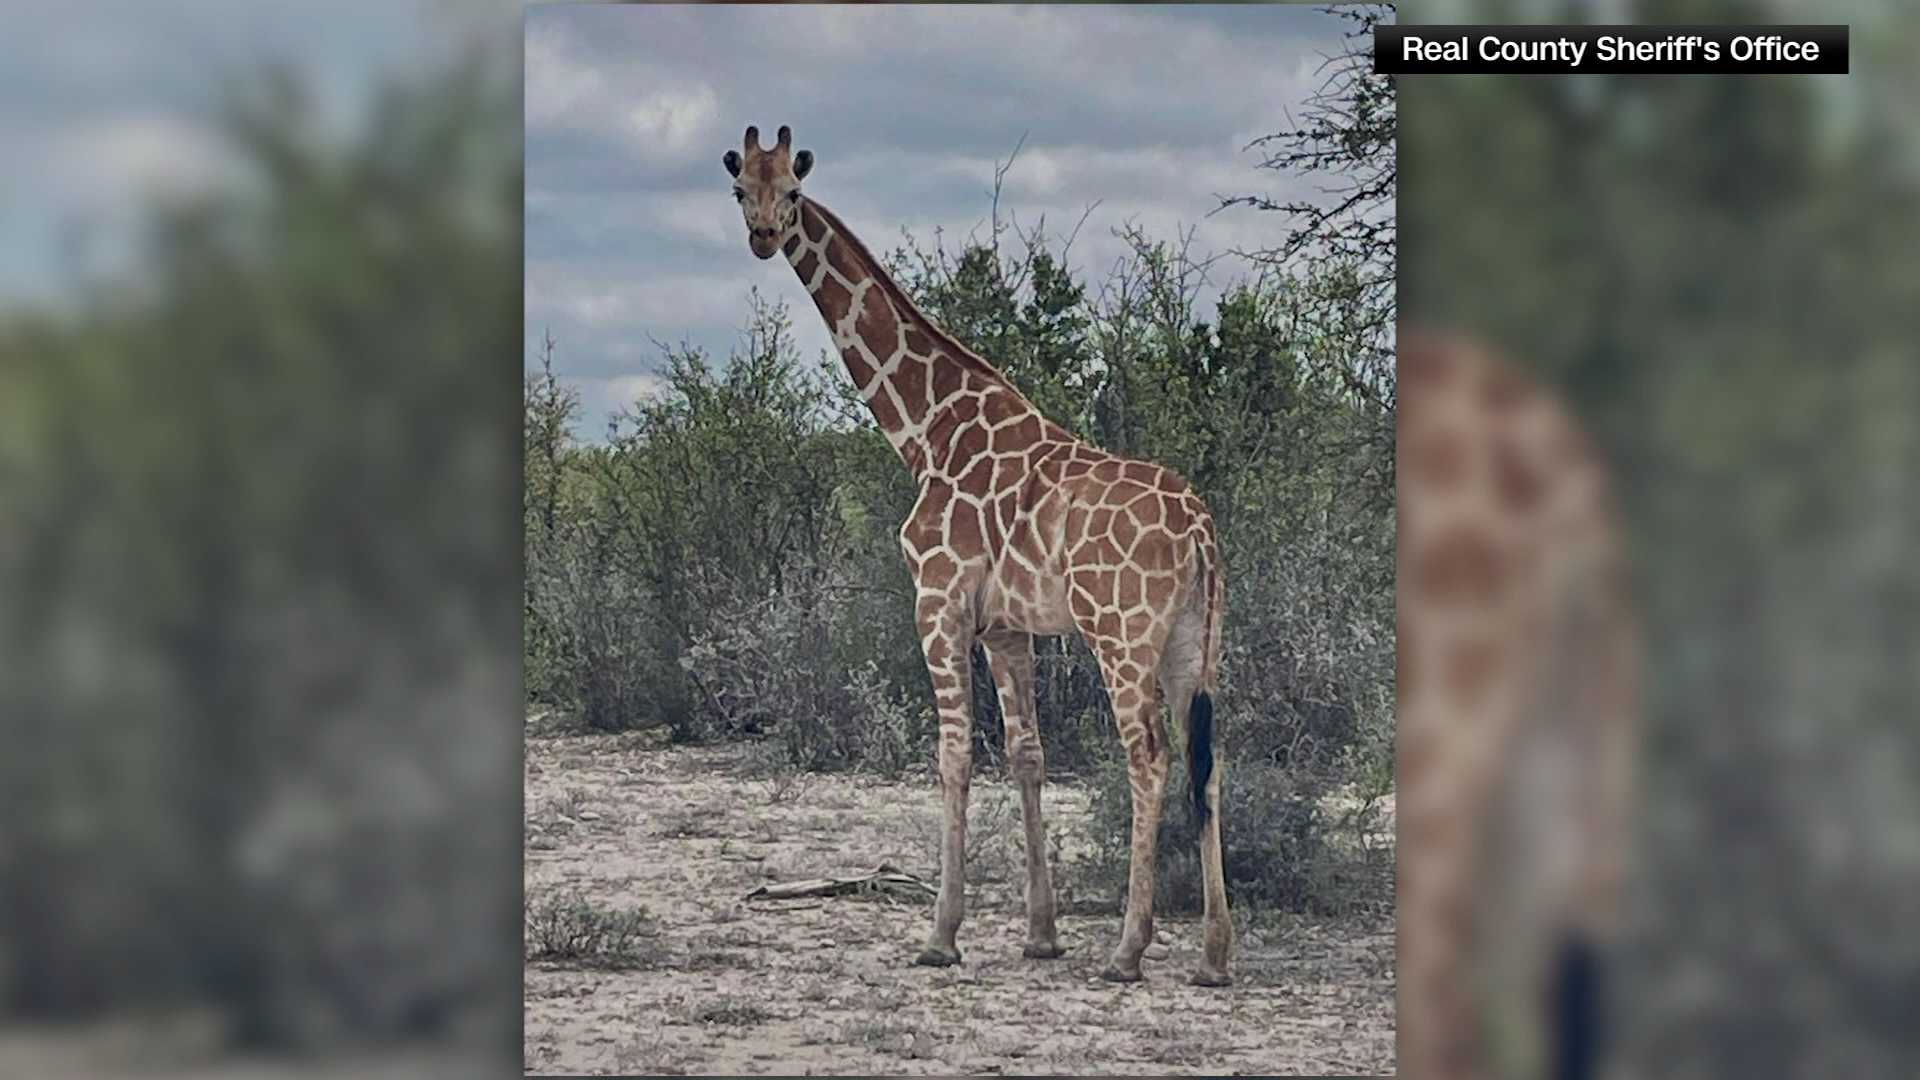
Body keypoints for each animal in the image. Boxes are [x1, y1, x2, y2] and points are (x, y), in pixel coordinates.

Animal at [723, 124, 1232, 985]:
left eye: (791, 189)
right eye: (739, 190)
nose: (762, 237)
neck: (925, 430)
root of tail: (1199, 529)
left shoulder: (938, 601)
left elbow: (954, 754)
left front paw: (941, 934)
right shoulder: (1006, 625)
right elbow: (1027, 755)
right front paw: (1040, 933)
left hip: (1122, 633)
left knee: (1150, 756)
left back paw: (1129, 949)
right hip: (1196, 640)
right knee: (1209, 758)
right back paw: (1214, 954)